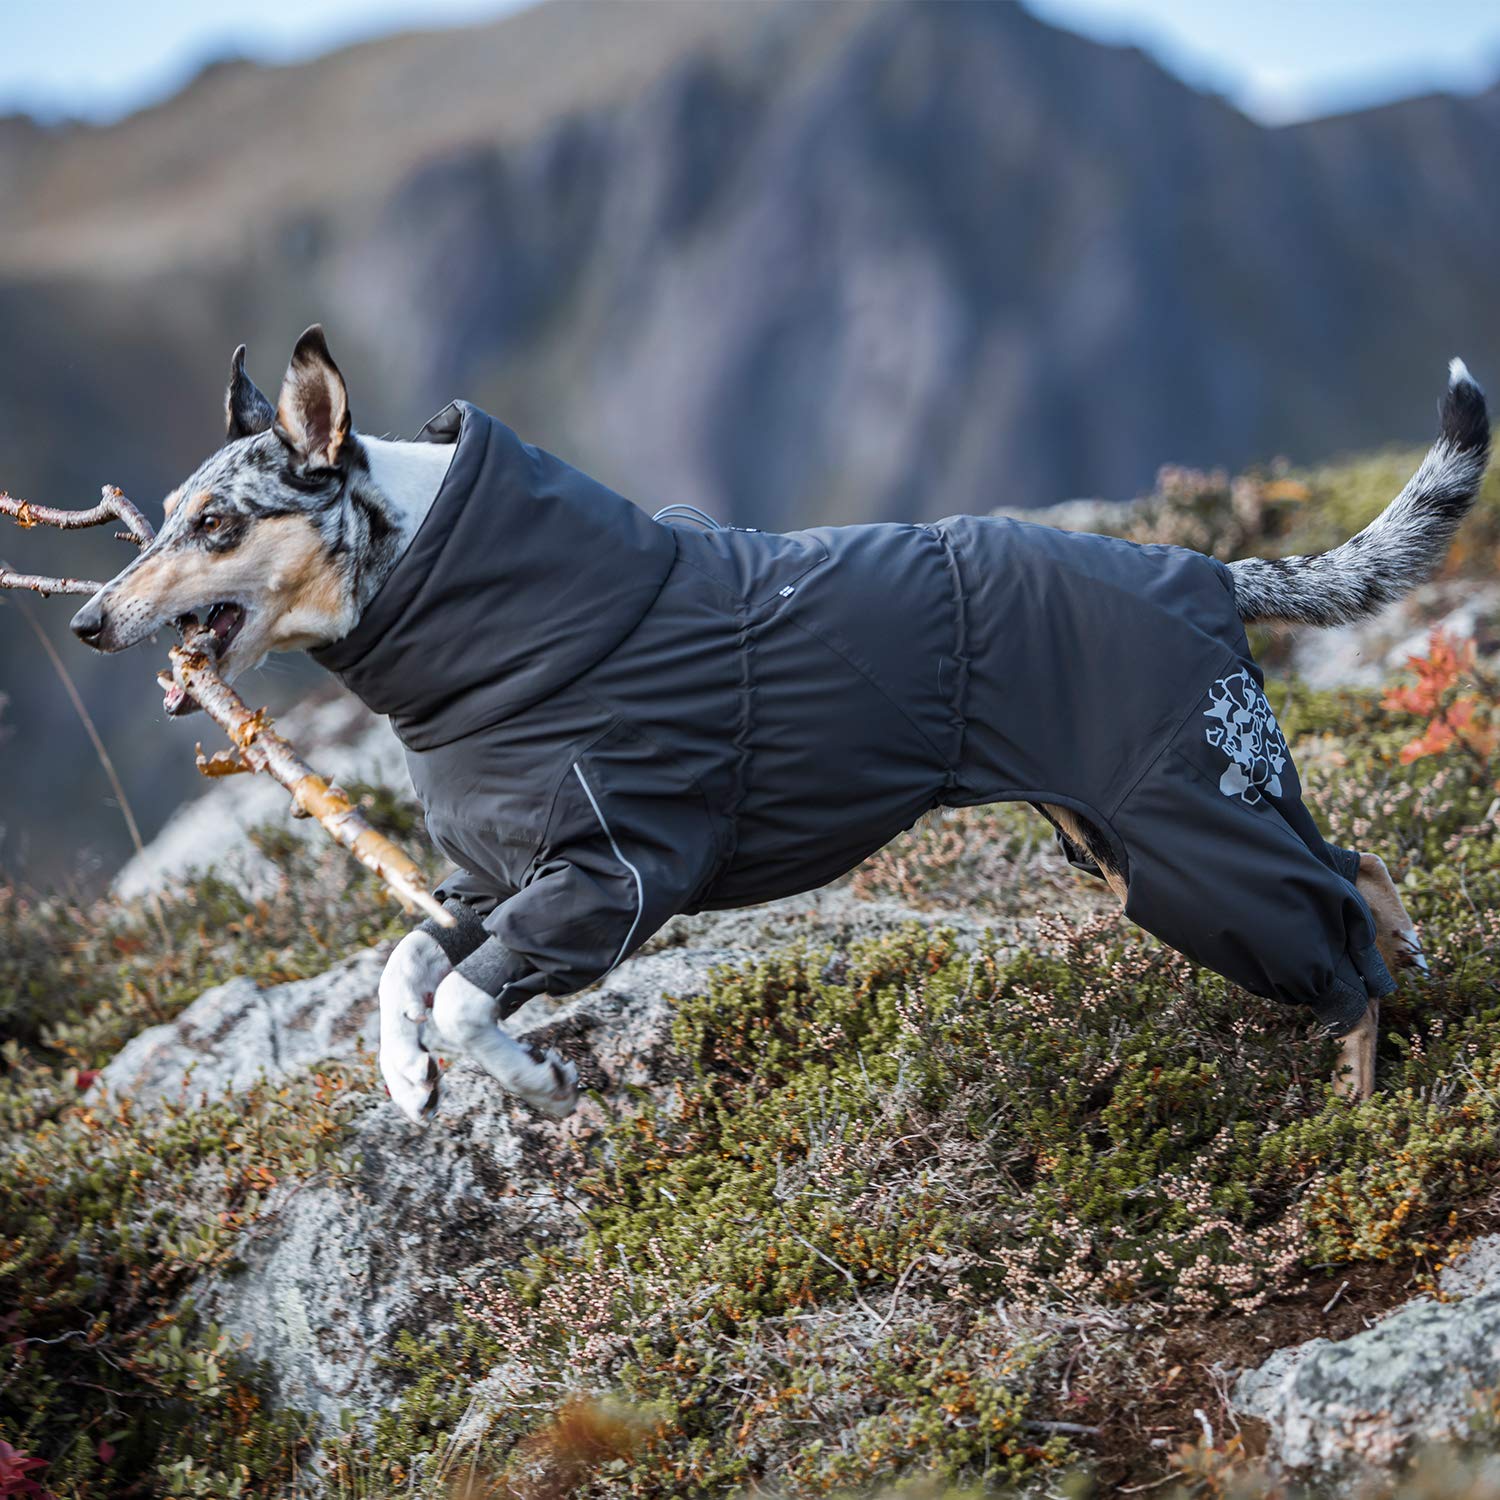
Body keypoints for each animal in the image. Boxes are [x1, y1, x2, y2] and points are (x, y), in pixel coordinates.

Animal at [76, 331, 1494, 1128]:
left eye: (215, 525)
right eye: (160, 517)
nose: (88, 618)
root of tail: (1204, 566)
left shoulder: (609, 878)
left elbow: (471, 1004)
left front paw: (526, 1084)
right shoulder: (483, 884)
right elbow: (403, 971)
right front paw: (405, 1079)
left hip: (1186, 824)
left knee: (1335, 926)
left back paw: (1359, 1112)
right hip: (1137, 826)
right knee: (1359, 863)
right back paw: (1415, 973)